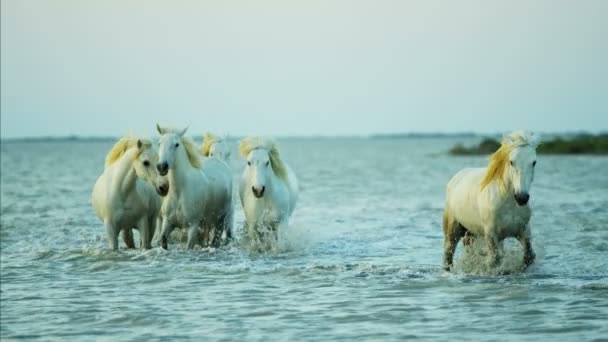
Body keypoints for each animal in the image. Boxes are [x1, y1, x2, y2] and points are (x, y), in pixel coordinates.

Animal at [442, 130, 540, 270]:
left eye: (534, 162)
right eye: (511, 162)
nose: (521, 198)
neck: (508, 204)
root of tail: (456, 177)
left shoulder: (523, 230)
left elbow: (529, 256)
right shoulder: (491, 235)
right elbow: (494, 260)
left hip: (472, 233)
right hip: (453, 230)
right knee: (448, 254)